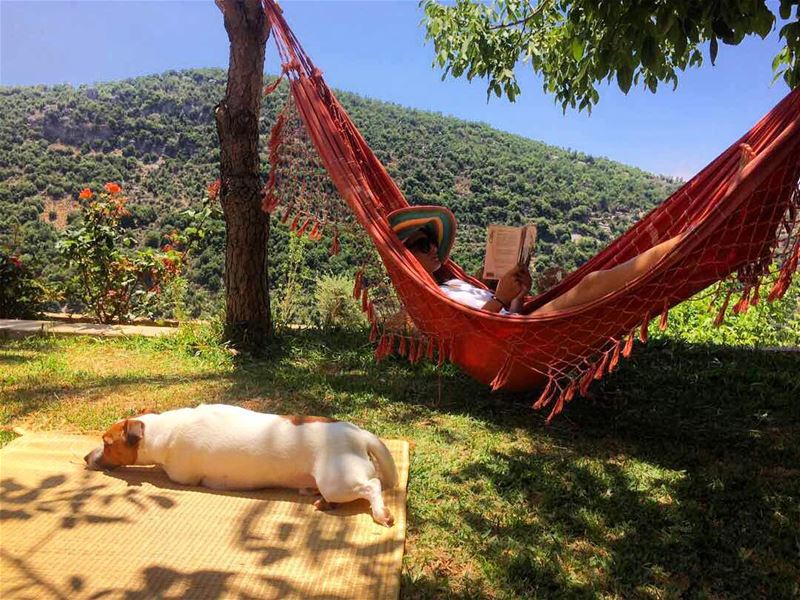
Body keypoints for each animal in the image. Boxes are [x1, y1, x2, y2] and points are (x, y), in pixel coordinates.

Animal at [86, 406, 398, 528]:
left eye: (106, 442)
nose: (86, 458)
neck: (163, 429)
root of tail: (360, 434)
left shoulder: (181, 476)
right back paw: (320, 500)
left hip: (338, 481)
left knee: (373, 486)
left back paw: (380, 513)